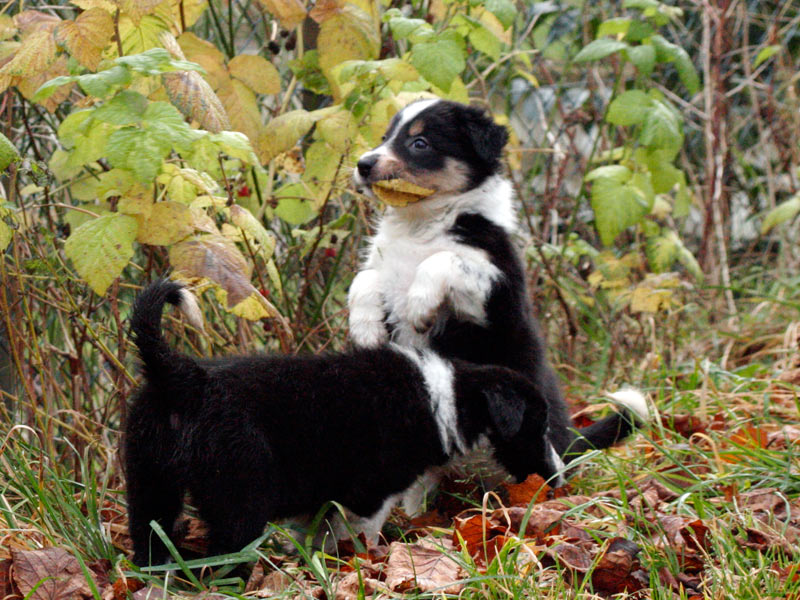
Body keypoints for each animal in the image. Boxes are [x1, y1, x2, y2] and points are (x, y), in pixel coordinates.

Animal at [126, 278, 564, 564]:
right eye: (538, 427)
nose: (560, 481)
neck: (447, 398)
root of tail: (184, 376)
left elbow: (315, 535)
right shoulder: (369, 492)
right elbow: (357, 534)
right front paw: (360, 563)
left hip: (149, 480)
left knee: (149, 537)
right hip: (240, 492)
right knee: (227, 552)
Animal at [352, 101, 648, 504]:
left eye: (420, 143)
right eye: (385, 137)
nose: (362, 164)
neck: (420, 224)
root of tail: (568, 441)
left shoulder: (495, 296)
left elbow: (445, 261)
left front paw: (419, 306)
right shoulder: (386, 266)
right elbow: (364, 279)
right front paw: (364, 329)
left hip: (525, 438)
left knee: (545, 475)